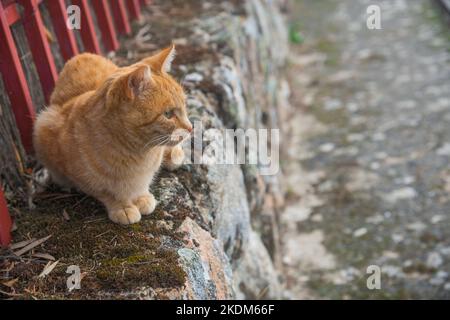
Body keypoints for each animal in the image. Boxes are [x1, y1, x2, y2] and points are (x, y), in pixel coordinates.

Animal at [32, 45, 192, 225]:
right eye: (168, 114)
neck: (137, 154)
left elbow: (142, 185)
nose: (191, 128)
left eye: (184, 105)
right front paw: (123, 207)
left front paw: (141, 196)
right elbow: (107, 193)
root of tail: (81, 55)